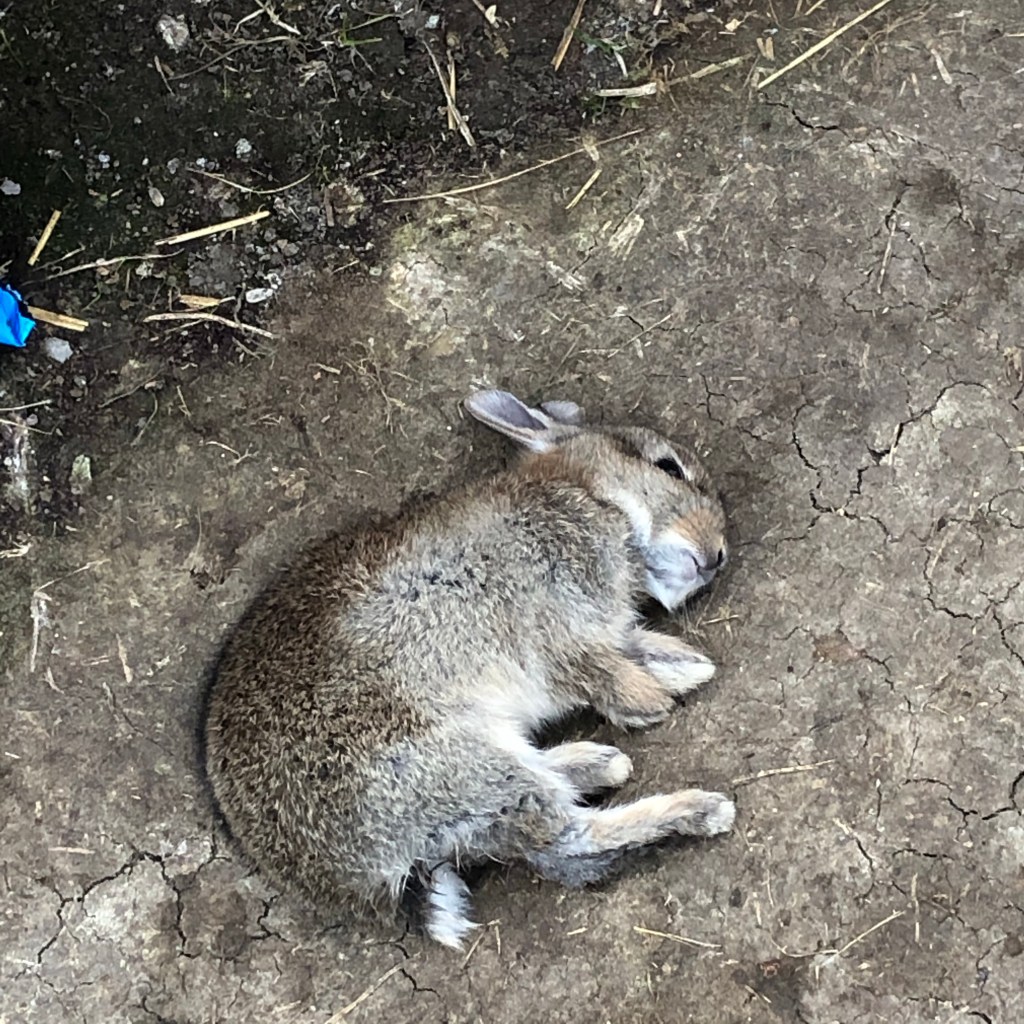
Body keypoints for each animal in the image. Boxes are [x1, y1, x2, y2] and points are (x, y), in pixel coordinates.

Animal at [203, 389, 734, 949]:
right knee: (566, 841)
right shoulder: (557, 625)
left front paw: (689, 667)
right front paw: (653, 699)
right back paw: (700, 809)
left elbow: (631, 645)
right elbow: (602, 673)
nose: (717, 556)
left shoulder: (600, 628)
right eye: (668, 467)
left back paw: (598, 762)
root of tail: (360, 878)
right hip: (457, 763)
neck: (590, 497)